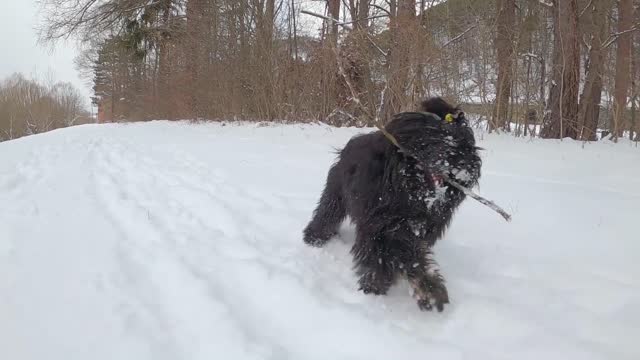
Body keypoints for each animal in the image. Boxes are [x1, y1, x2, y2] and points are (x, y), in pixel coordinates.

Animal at [304, 97, 480, 312]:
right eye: (436, 137)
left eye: (466, 142)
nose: (463, 163)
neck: (411, 189)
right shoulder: (379, 225)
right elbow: (396, 255)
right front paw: (379, 287)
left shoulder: (418, 228)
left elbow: (411, 255)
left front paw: (423, 288)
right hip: (336, 192)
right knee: (327, 213)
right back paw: (314, 237)